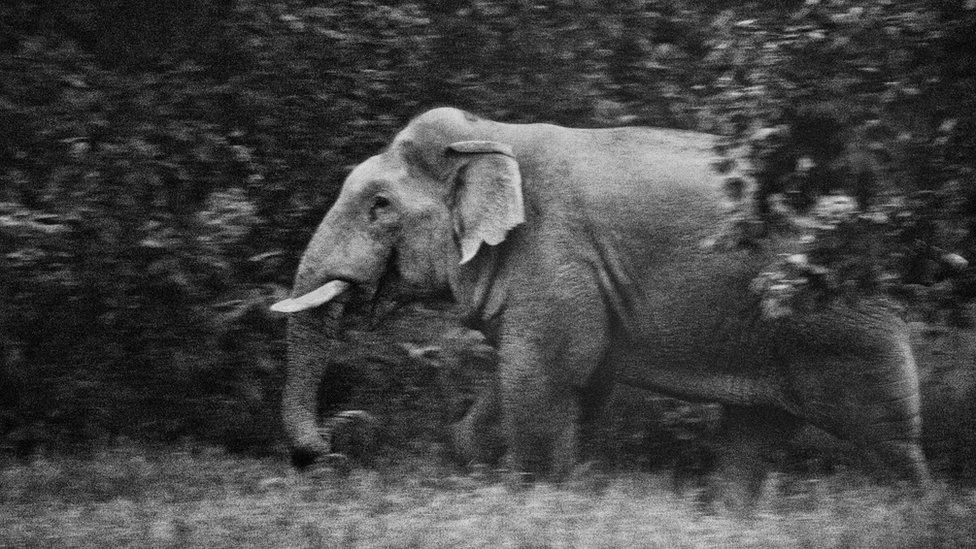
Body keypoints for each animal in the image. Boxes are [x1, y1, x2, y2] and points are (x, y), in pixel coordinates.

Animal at [272, 107, 932, 492]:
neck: (492, 136)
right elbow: (566, 377)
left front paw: (536, 493)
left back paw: (910, 512)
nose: (328, 452)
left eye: (379, 205)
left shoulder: (556, 252)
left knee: (886, 434)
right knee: (756, 430)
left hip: (838, 318)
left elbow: (545, 371)